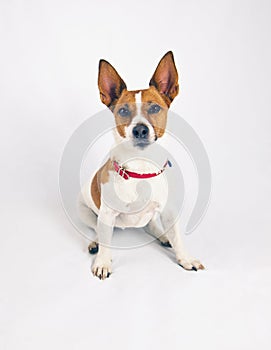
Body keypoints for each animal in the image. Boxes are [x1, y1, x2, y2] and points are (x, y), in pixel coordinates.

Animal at [77, 51, 205, 278]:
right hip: (85, 211)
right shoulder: (106, 214)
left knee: (150, 226)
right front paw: (103, 261)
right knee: (98, 230)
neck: (141, 168)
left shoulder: (169, 211)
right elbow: (106, 240)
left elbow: (177, 237)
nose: (140, 130)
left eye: (154, 108)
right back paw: (96, 243)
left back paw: (163, 236)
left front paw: (185, 258)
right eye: (123, 111)